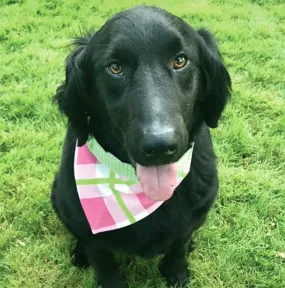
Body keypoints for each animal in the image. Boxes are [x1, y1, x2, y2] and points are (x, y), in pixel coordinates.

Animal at [51, 5, 230, 288]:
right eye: (115, 68)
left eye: (180, 61)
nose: (160, 146)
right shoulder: (89, 231)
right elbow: (104, 263)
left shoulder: (193, 216)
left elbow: (179, 245)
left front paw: (176, 274)